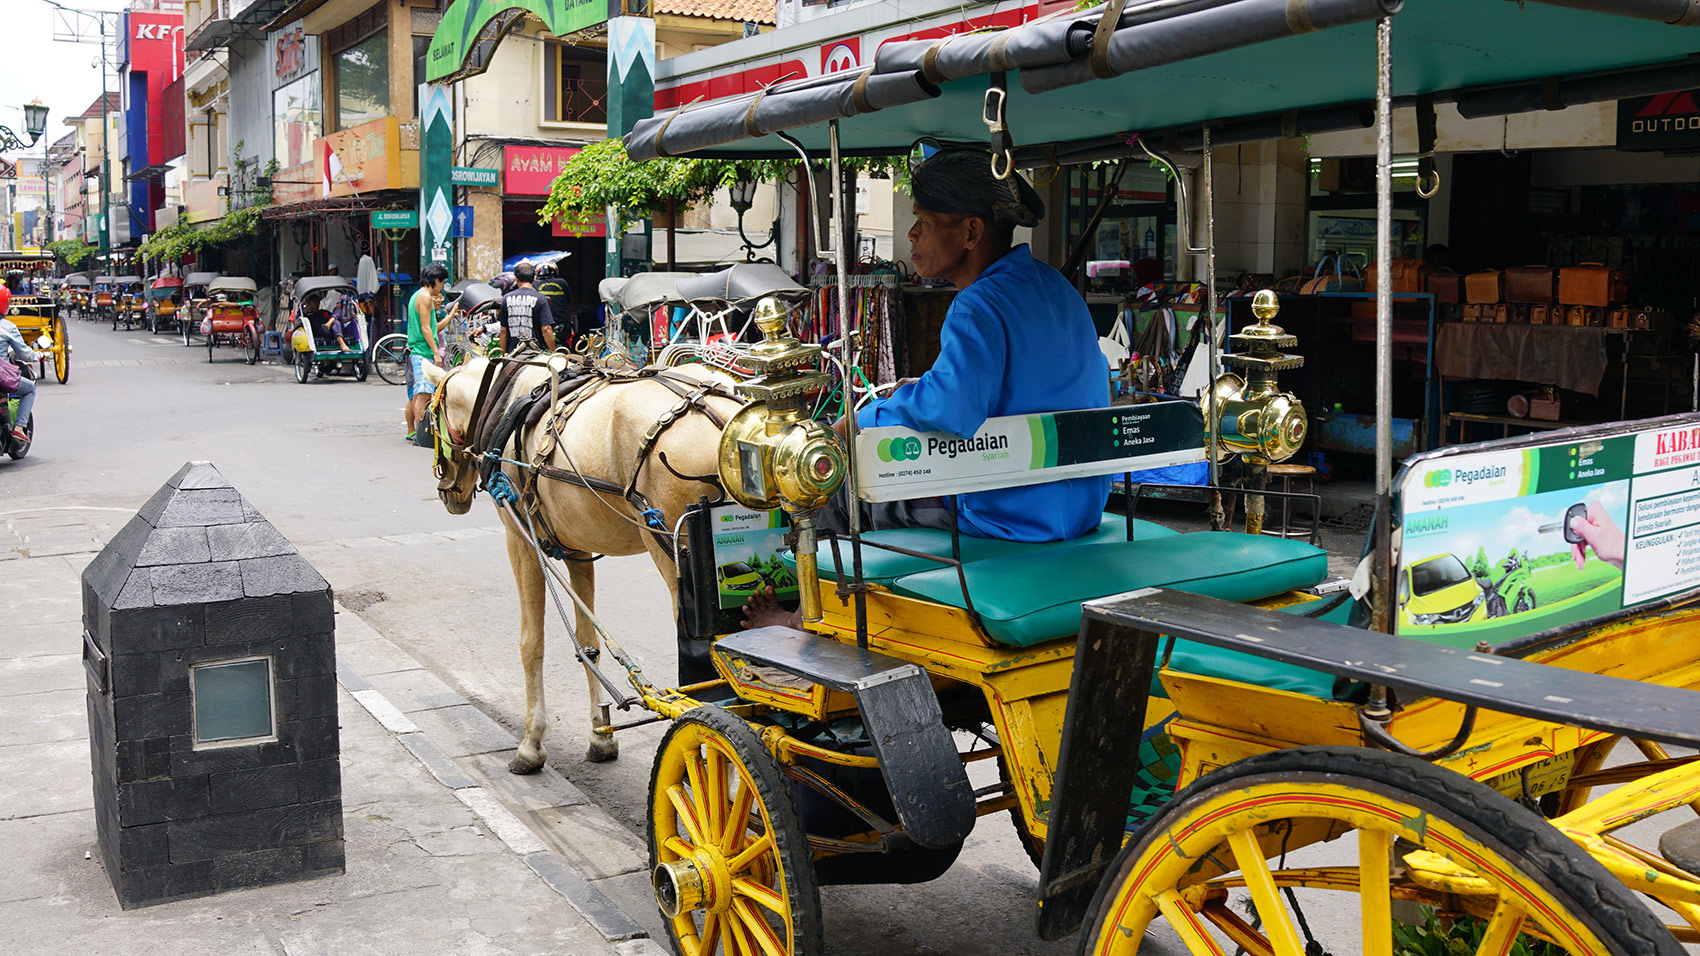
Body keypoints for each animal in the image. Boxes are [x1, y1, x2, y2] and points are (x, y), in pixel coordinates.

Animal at [423, 353, 737, 768]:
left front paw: (531, 744)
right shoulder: (577, 551)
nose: (448, 493)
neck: (509, 400)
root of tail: (720, 417)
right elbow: (589, 645)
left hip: (670, 550)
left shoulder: (521, 542)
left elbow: (531, 643)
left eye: (430, 420)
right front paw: (600, 735)